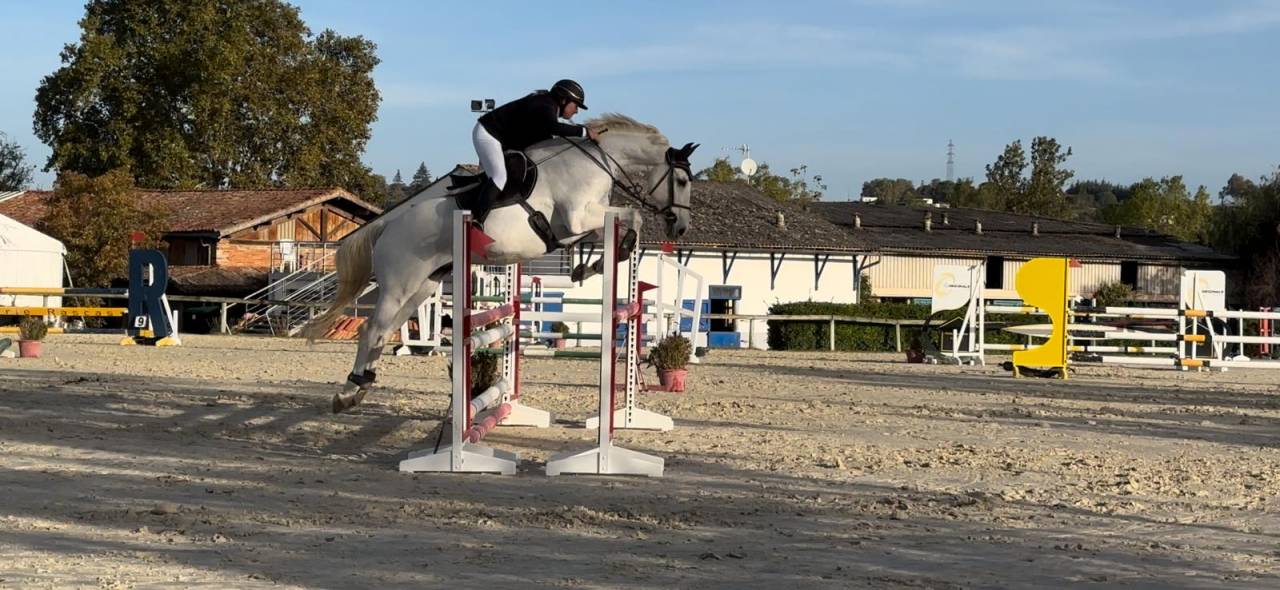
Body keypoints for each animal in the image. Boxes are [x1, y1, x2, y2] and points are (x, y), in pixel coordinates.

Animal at [303, 114, 699, 413]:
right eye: (680, 180)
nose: (680, 227)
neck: (597, 162)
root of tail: (388, 224)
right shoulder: (576, 219)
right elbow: (631, 216)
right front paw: (603, 259)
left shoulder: (582, 223)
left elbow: (617, 227)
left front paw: (592, 264)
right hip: (399, 285)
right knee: (371, 330)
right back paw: (347, 393)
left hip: (422, 286)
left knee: (384, 331)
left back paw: (361, 387)